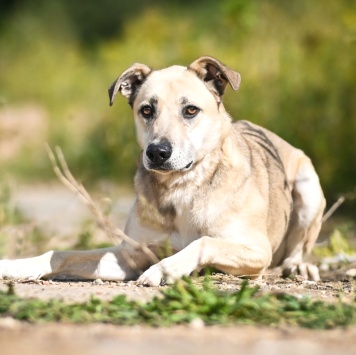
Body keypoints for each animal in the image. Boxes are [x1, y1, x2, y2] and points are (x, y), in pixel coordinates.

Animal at [0, 57, 326, 286]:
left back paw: (298, 265)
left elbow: (203, 242)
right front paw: (15, 265)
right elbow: (60, 254)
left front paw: (164, 270)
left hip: (308, 188)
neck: (182, 187)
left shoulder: (256, 250)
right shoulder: (130, 254)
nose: (157, 152)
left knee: (298, 247)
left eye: (191, 110)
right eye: (146, 110)